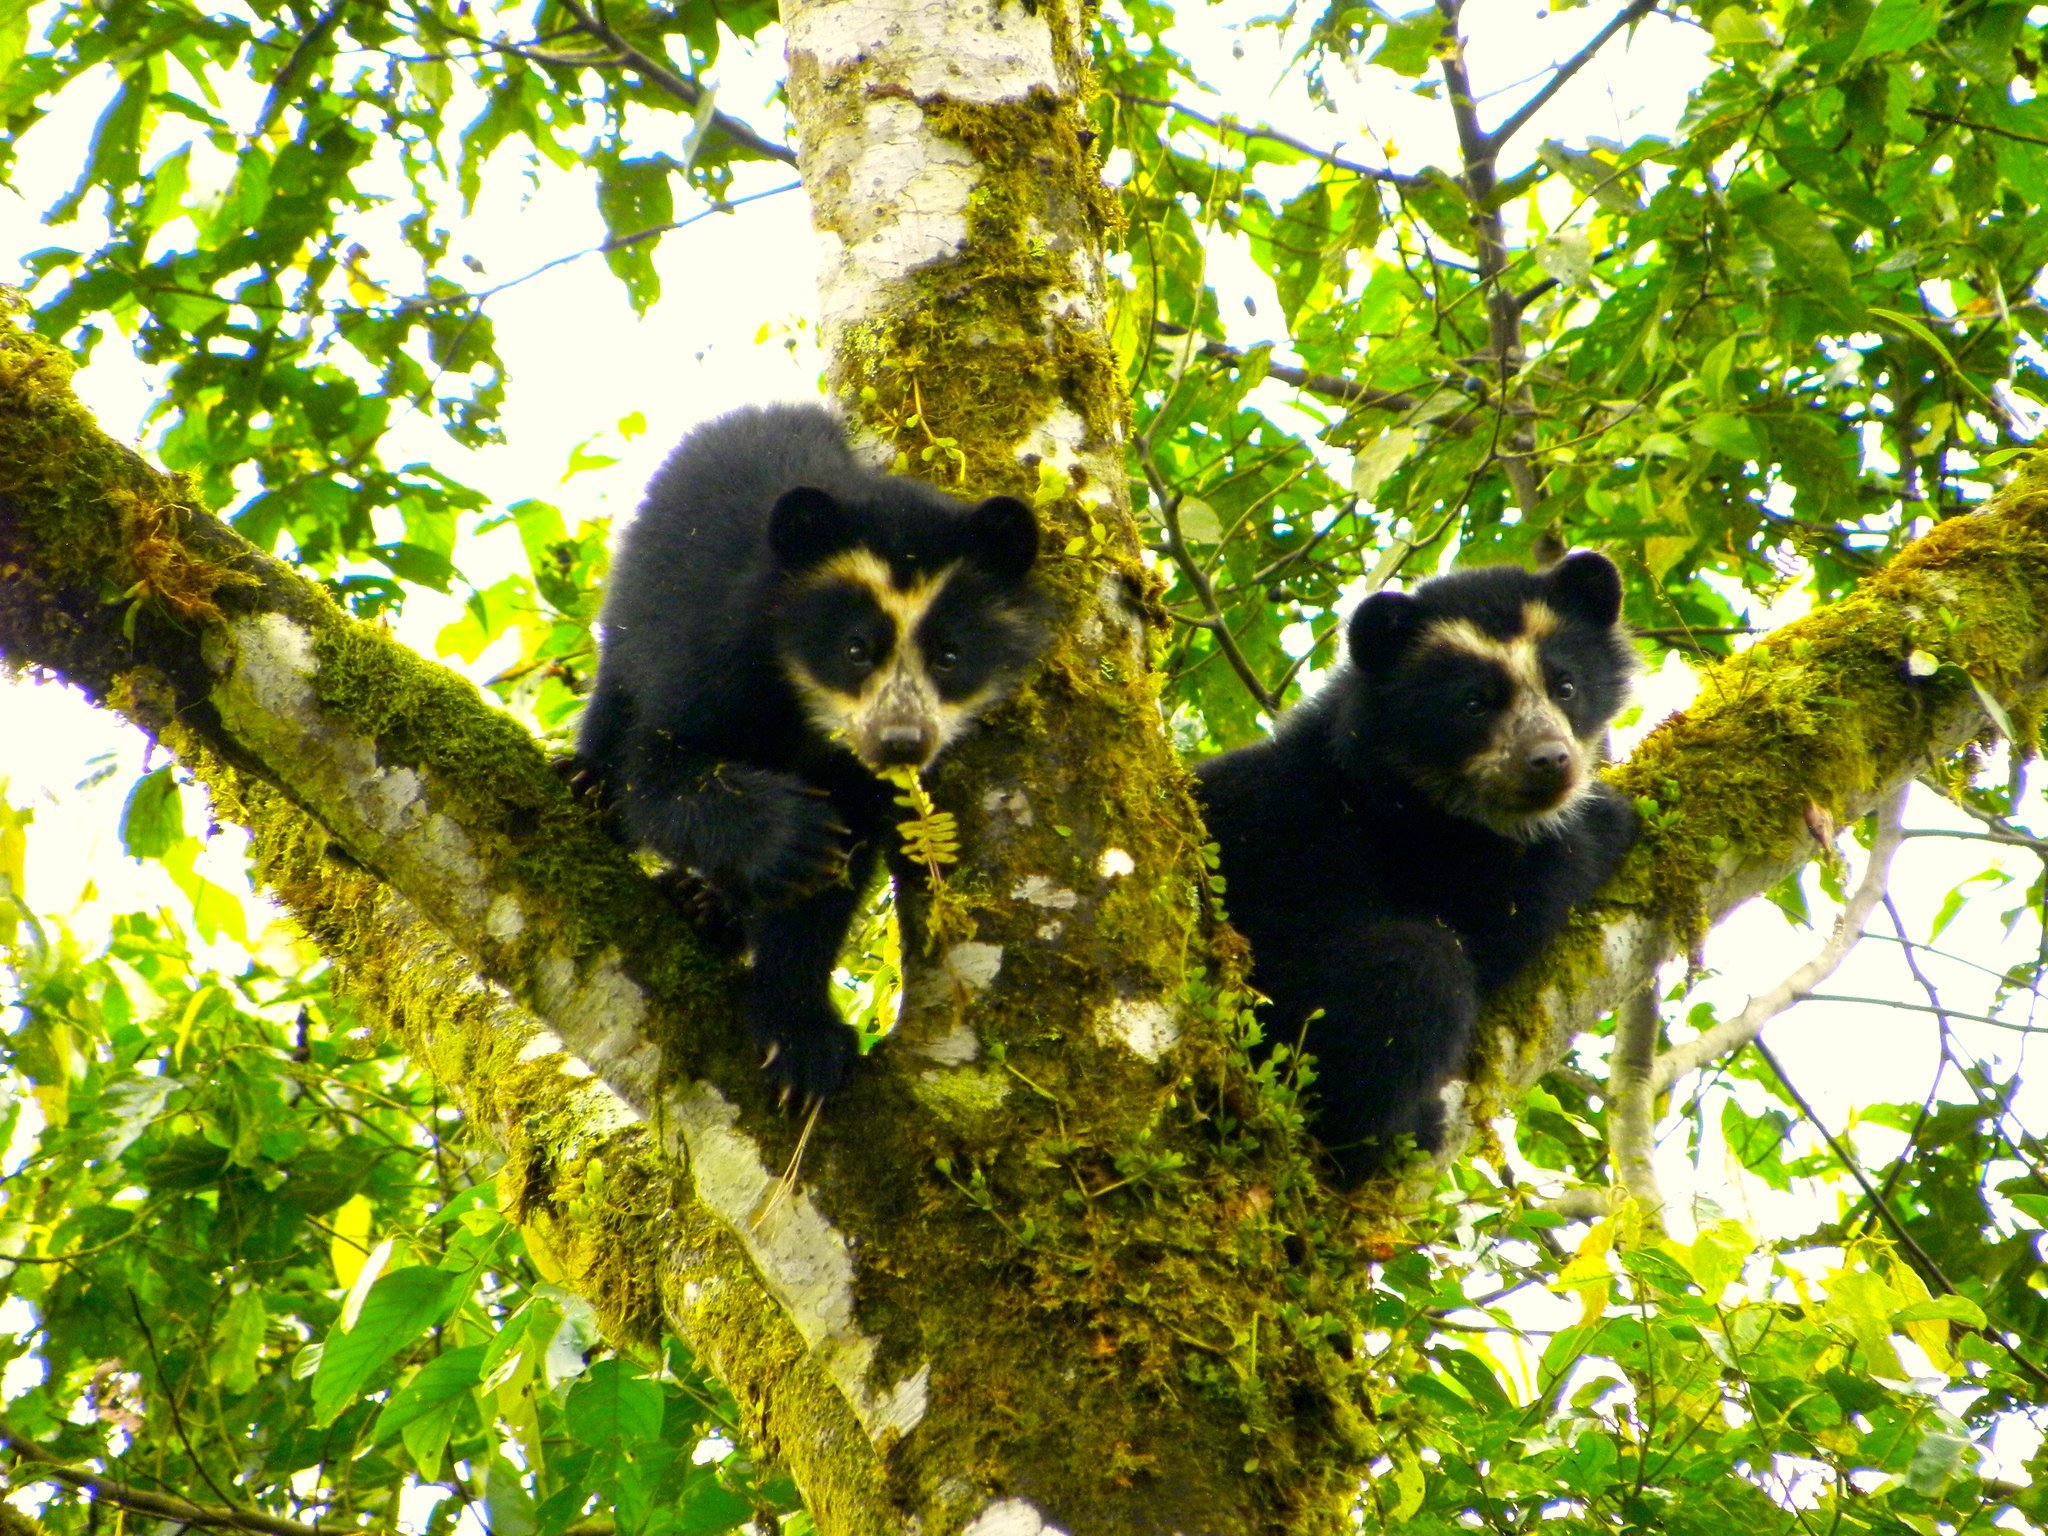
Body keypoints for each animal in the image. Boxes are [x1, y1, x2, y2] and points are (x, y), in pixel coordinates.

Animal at [577, 403, 1047, 1101]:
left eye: (950, 655)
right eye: (855, 649)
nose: (902, 742)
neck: (807, 705)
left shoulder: (859, 779)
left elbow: (828, 885)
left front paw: (802, 1046)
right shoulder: (707, 649)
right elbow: (663, 774)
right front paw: (795, 835)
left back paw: (709, 908)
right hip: (636, 598)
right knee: (615, 700)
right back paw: (585, 782)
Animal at [1192, 550, 1639, 1182]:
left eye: (1567, 686)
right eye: (1473, 703)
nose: (1550, 761)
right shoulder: (1403, 846)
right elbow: (1502, 915)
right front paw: (1608, 818)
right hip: (1274, 1025)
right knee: (1418, 964)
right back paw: (1395, 1133)